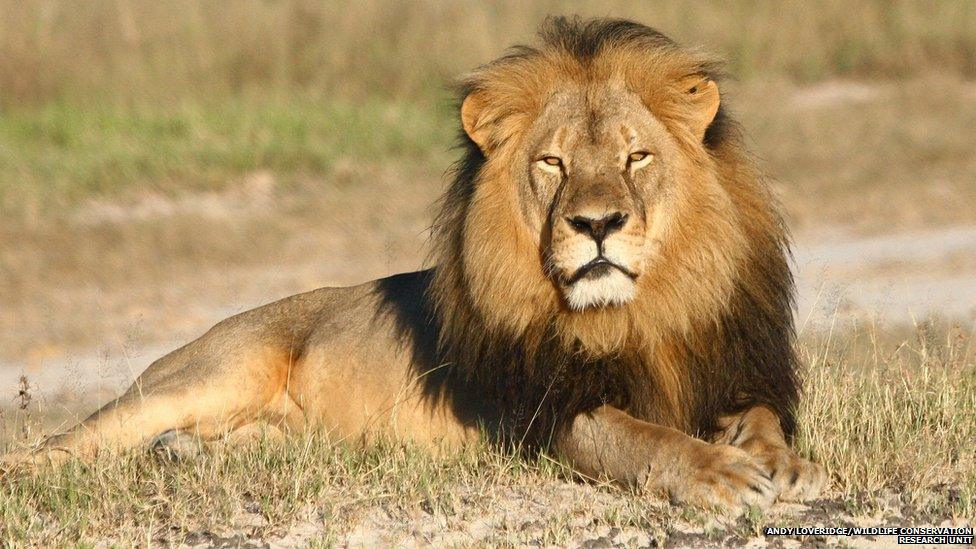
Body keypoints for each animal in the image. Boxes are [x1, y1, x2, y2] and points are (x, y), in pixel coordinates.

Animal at [3, 19, 824, 512]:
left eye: (636, 157)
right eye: (553, 164)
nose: (596, 224)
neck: (637, 313)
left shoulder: (730, 367)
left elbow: (760, 415)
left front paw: (784, 462)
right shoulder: (544, 413)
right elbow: (640, 437)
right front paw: (719, 472)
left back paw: (184, 457)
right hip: (211, 372)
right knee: (65, 442)